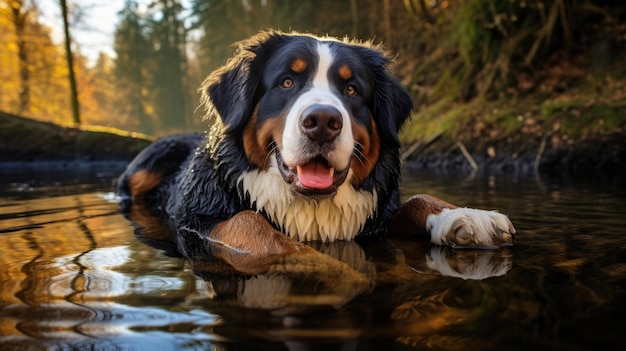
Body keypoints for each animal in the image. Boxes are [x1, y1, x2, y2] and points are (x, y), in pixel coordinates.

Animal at [116, 31, 512, 276]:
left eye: (352, 89)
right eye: (287, 82)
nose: (322, 121)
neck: (313, 207)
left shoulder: (376, 224)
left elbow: (417, 199)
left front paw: (466, 216)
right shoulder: (196, 222)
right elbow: (250, 222)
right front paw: (317, 262)